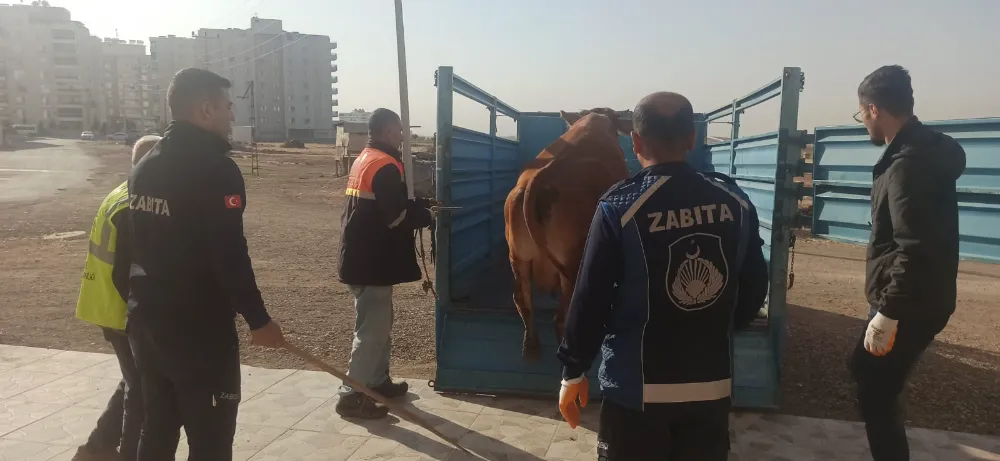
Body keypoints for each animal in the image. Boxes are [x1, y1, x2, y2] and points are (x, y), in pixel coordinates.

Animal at [504, 108, 628, 360]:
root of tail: (538, 179)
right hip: (574, 263)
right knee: (563, 318)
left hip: (518, 256)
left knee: (522, 300)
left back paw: (531, 347)